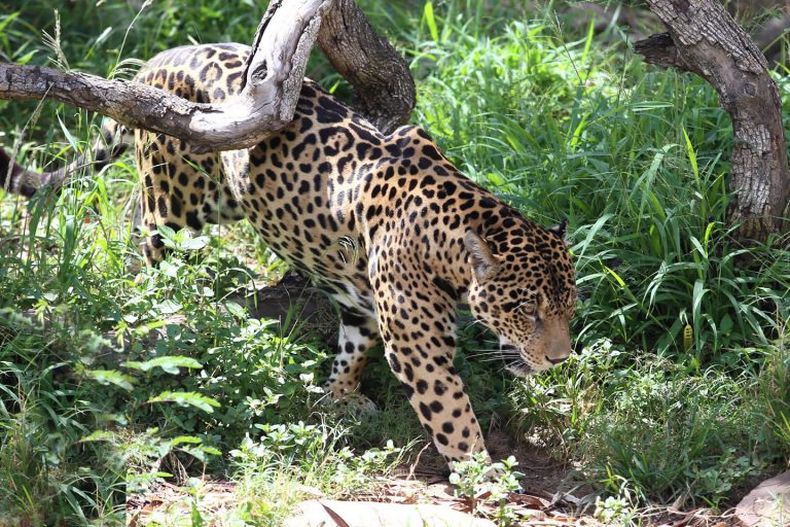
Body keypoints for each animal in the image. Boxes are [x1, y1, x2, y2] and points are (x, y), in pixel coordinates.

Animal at [0, 43, 577, 466]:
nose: (560, 359)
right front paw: (485, 478)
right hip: (176, 205)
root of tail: (156, 61)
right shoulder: (420, 350)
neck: (450, 236)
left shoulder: (363, 299)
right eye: (526, 310)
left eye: (567, 310)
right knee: (153, 243)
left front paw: (340, 397)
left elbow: (354, 344)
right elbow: (453, 415)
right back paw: (164, 308)